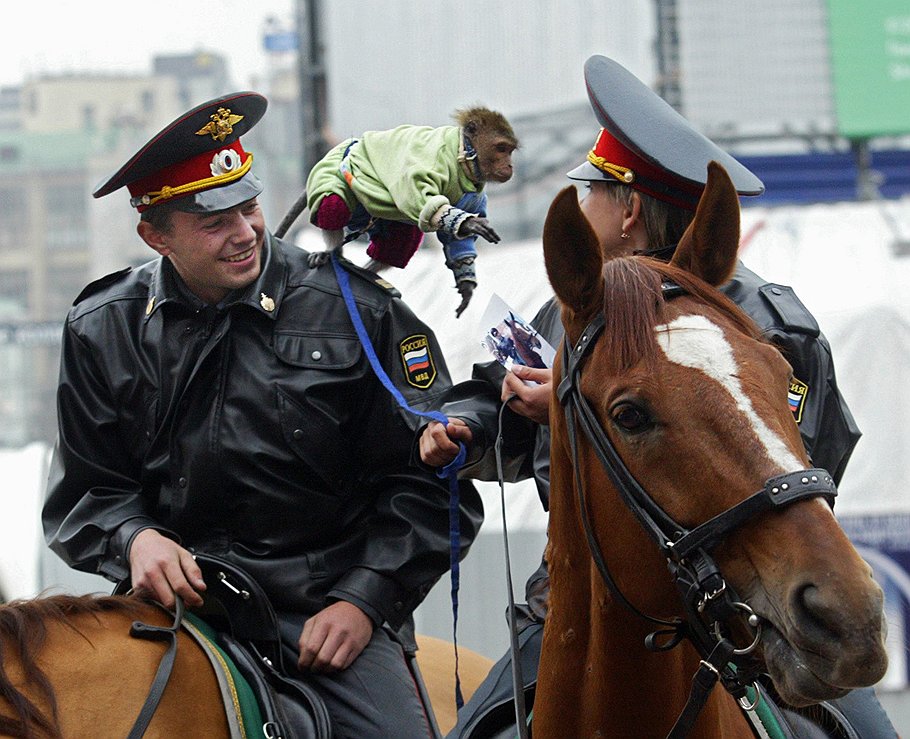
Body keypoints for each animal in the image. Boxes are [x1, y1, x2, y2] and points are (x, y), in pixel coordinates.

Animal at [306, 106, 520, 316]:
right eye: (501, 148)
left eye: (509, 151)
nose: (510, 165)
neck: (463, 157)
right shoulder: (434, 161)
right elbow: (417, 192)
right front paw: (470, 223)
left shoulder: (475, 194)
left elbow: (455, 238)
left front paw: (466, 283)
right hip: (331, 171)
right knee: (334, 203)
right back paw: (333, 252)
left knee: (399, 244)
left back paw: (367, 271)